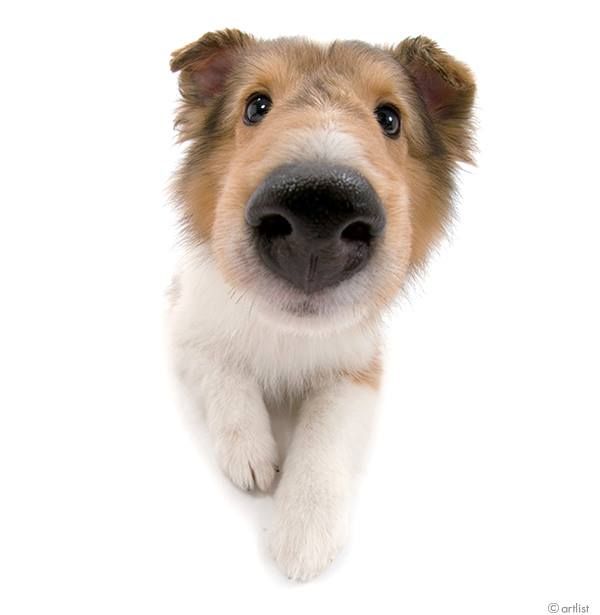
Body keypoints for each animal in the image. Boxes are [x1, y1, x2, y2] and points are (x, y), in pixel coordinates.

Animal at [166, 30, 476, 584]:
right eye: (256, 106)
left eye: (390, 118)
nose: (319, 208)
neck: (288, 329)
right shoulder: (185, 322)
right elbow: (224, 371)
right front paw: (251, 455)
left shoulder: (360, 365)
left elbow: (325, 429)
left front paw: (304, 535)